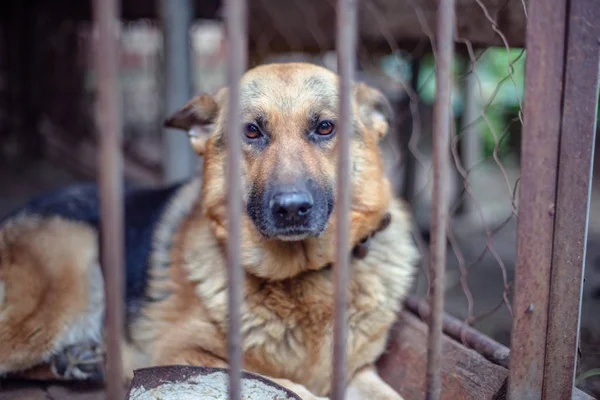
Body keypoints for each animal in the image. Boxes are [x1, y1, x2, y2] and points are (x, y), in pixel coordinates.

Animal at [0, 62, 420, 400]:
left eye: (325, 127)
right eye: (251, 132)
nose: (291, 208)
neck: (301, 279)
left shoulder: (358, 373)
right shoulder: (184, 354)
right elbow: (289, 387)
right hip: (67, 284)